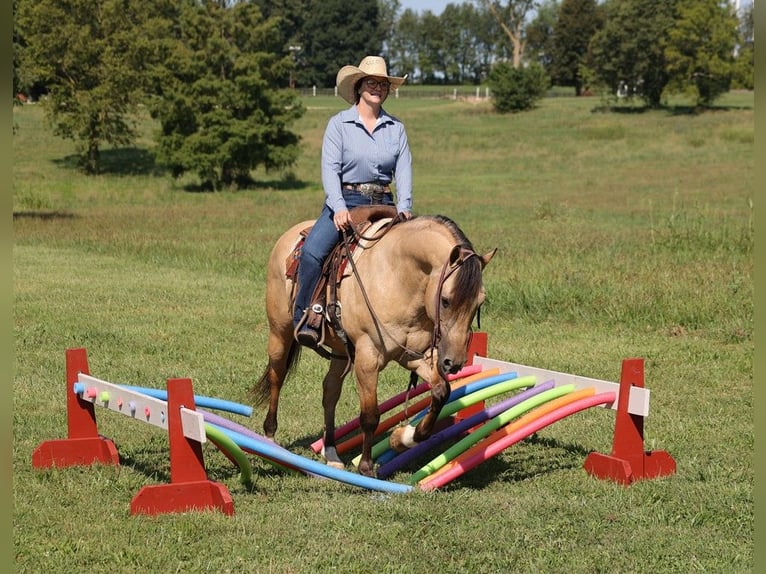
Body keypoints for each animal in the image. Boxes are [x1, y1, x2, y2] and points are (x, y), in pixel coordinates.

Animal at [253, 212, 496, 477]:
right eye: (445, 300)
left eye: (479, 302)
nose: (454, 363)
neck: (398, 278)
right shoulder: (368, 358)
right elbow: (370, 416)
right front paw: (367, 467)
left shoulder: (414, 356)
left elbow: (442, 391)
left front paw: (402, 438)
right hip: (280, 332)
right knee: (277, 376)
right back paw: (270, 438)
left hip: (340, 350)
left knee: (330, 391)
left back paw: (331, 452)